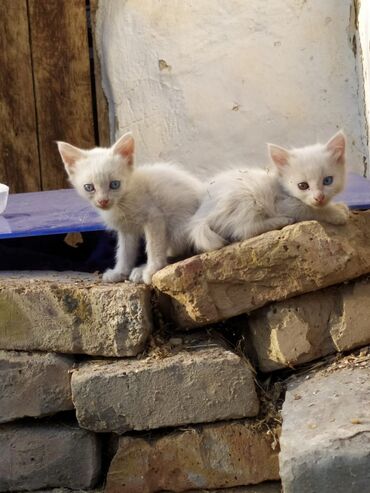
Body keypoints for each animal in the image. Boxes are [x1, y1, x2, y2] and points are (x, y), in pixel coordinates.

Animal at [56, 133, 204, 282]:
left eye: (115, 184)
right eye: (89, 187)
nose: (103, 201)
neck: (123, 200)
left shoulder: (154, 217)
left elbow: (153, 245)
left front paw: (152, 269)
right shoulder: (127, 229)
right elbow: (125, 252)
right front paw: (120, 272)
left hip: (178, 227)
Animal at [189, 131, 348, 252]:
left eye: (327, 181)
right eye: (302, 186)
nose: (319, 197)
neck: (280, 185)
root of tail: (201, 215)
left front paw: (339, 206)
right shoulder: (283, 204)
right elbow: (309, 209)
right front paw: (337, 214)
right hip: (245, 199)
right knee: (244, 230)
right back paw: (281, 221)